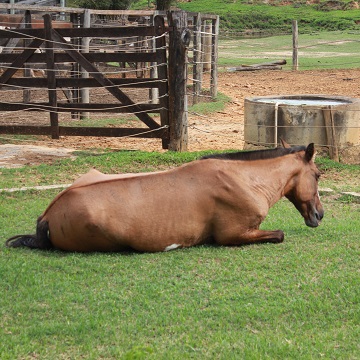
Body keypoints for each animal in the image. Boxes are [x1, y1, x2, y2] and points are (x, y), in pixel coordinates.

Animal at [4, 142, 324, 252]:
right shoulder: (233, 234)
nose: (319, 214)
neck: (244, 178)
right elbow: (280, 234)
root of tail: (49, 214)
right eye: (318, 174)